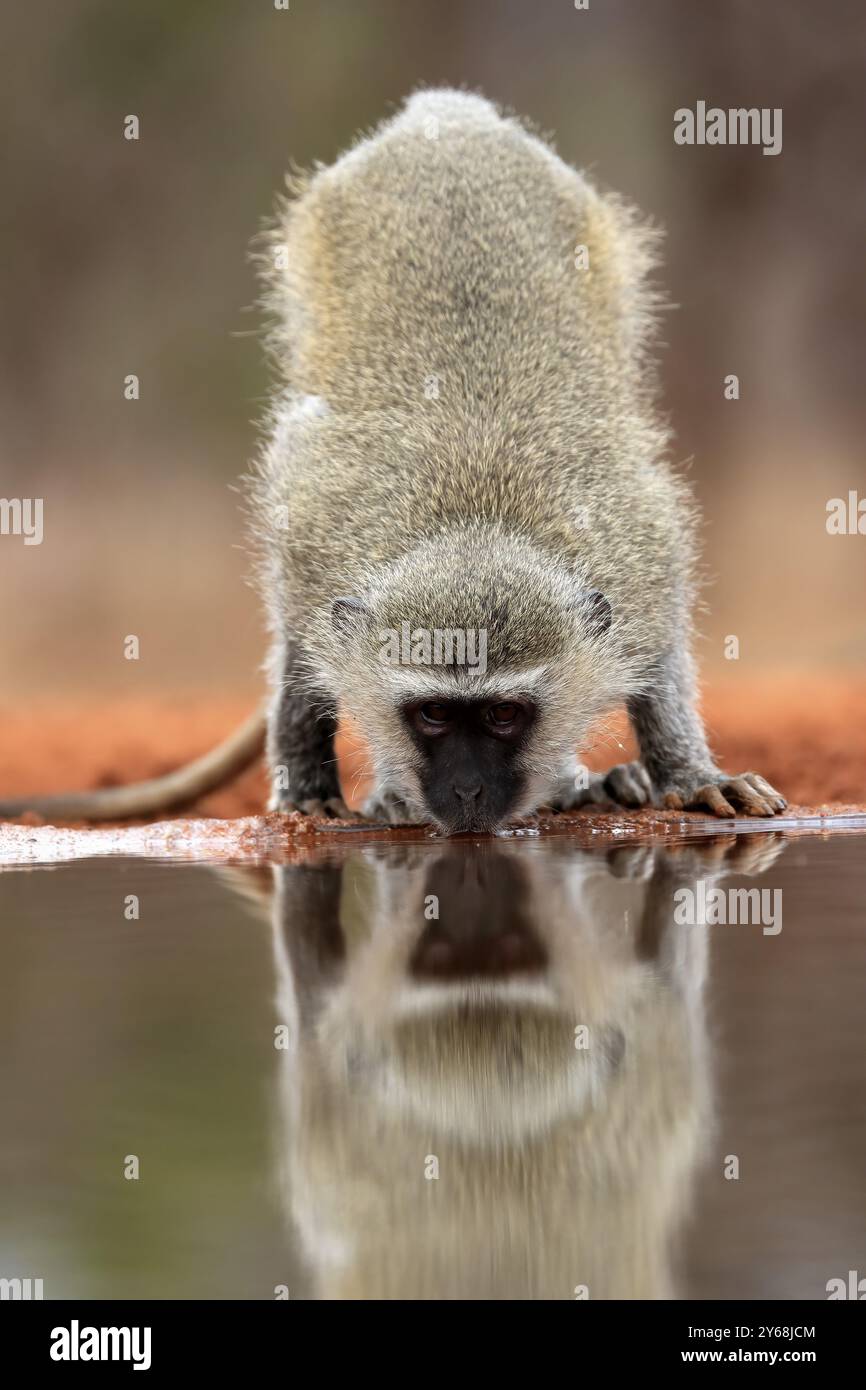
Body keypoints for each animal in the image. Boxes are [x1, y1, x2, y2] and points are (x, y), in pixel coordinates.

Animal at [0, 89, 786, 831]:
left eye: (504, 715)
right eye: (433, 714)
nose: (467, 794)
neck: (475, 518)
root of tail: (447, 113)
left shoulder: (641, 555)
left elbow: (659, 654)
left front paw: (686, 774)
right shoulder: (312, 550)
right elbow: (300, 654)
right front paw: (314, 787)